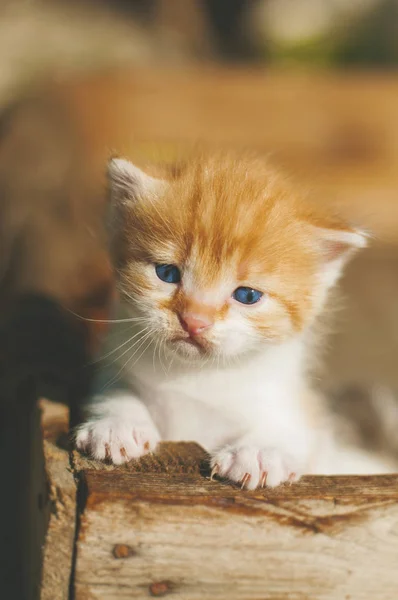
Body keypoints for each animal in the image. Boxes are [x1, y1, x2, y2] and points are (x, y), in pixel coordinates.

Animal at [75, 150, 386, 488]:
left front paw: (258, 453)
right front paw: (117, 424)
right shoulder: (113, 362)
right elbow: (114, 387)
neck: (197, 375)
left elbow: (296, 427)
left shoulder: (292, 403)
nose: (194, 321)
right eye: (167, 273)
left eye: (247, 295)